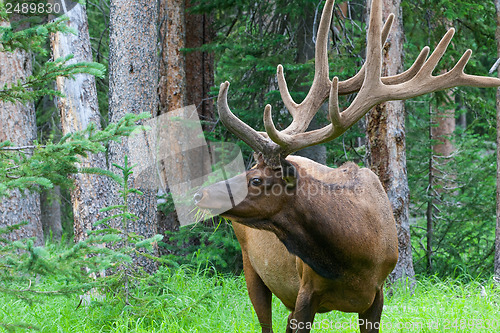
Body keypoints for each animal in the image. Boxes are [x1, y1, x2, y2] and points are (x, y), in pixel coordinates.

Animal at [194, 0, 500, 330]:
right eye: (249, 170)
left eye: (256, 180)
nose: (200, 193)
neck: (351, 258)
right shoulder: (305, 293)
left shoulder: (377, 296)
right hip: (251, 267)